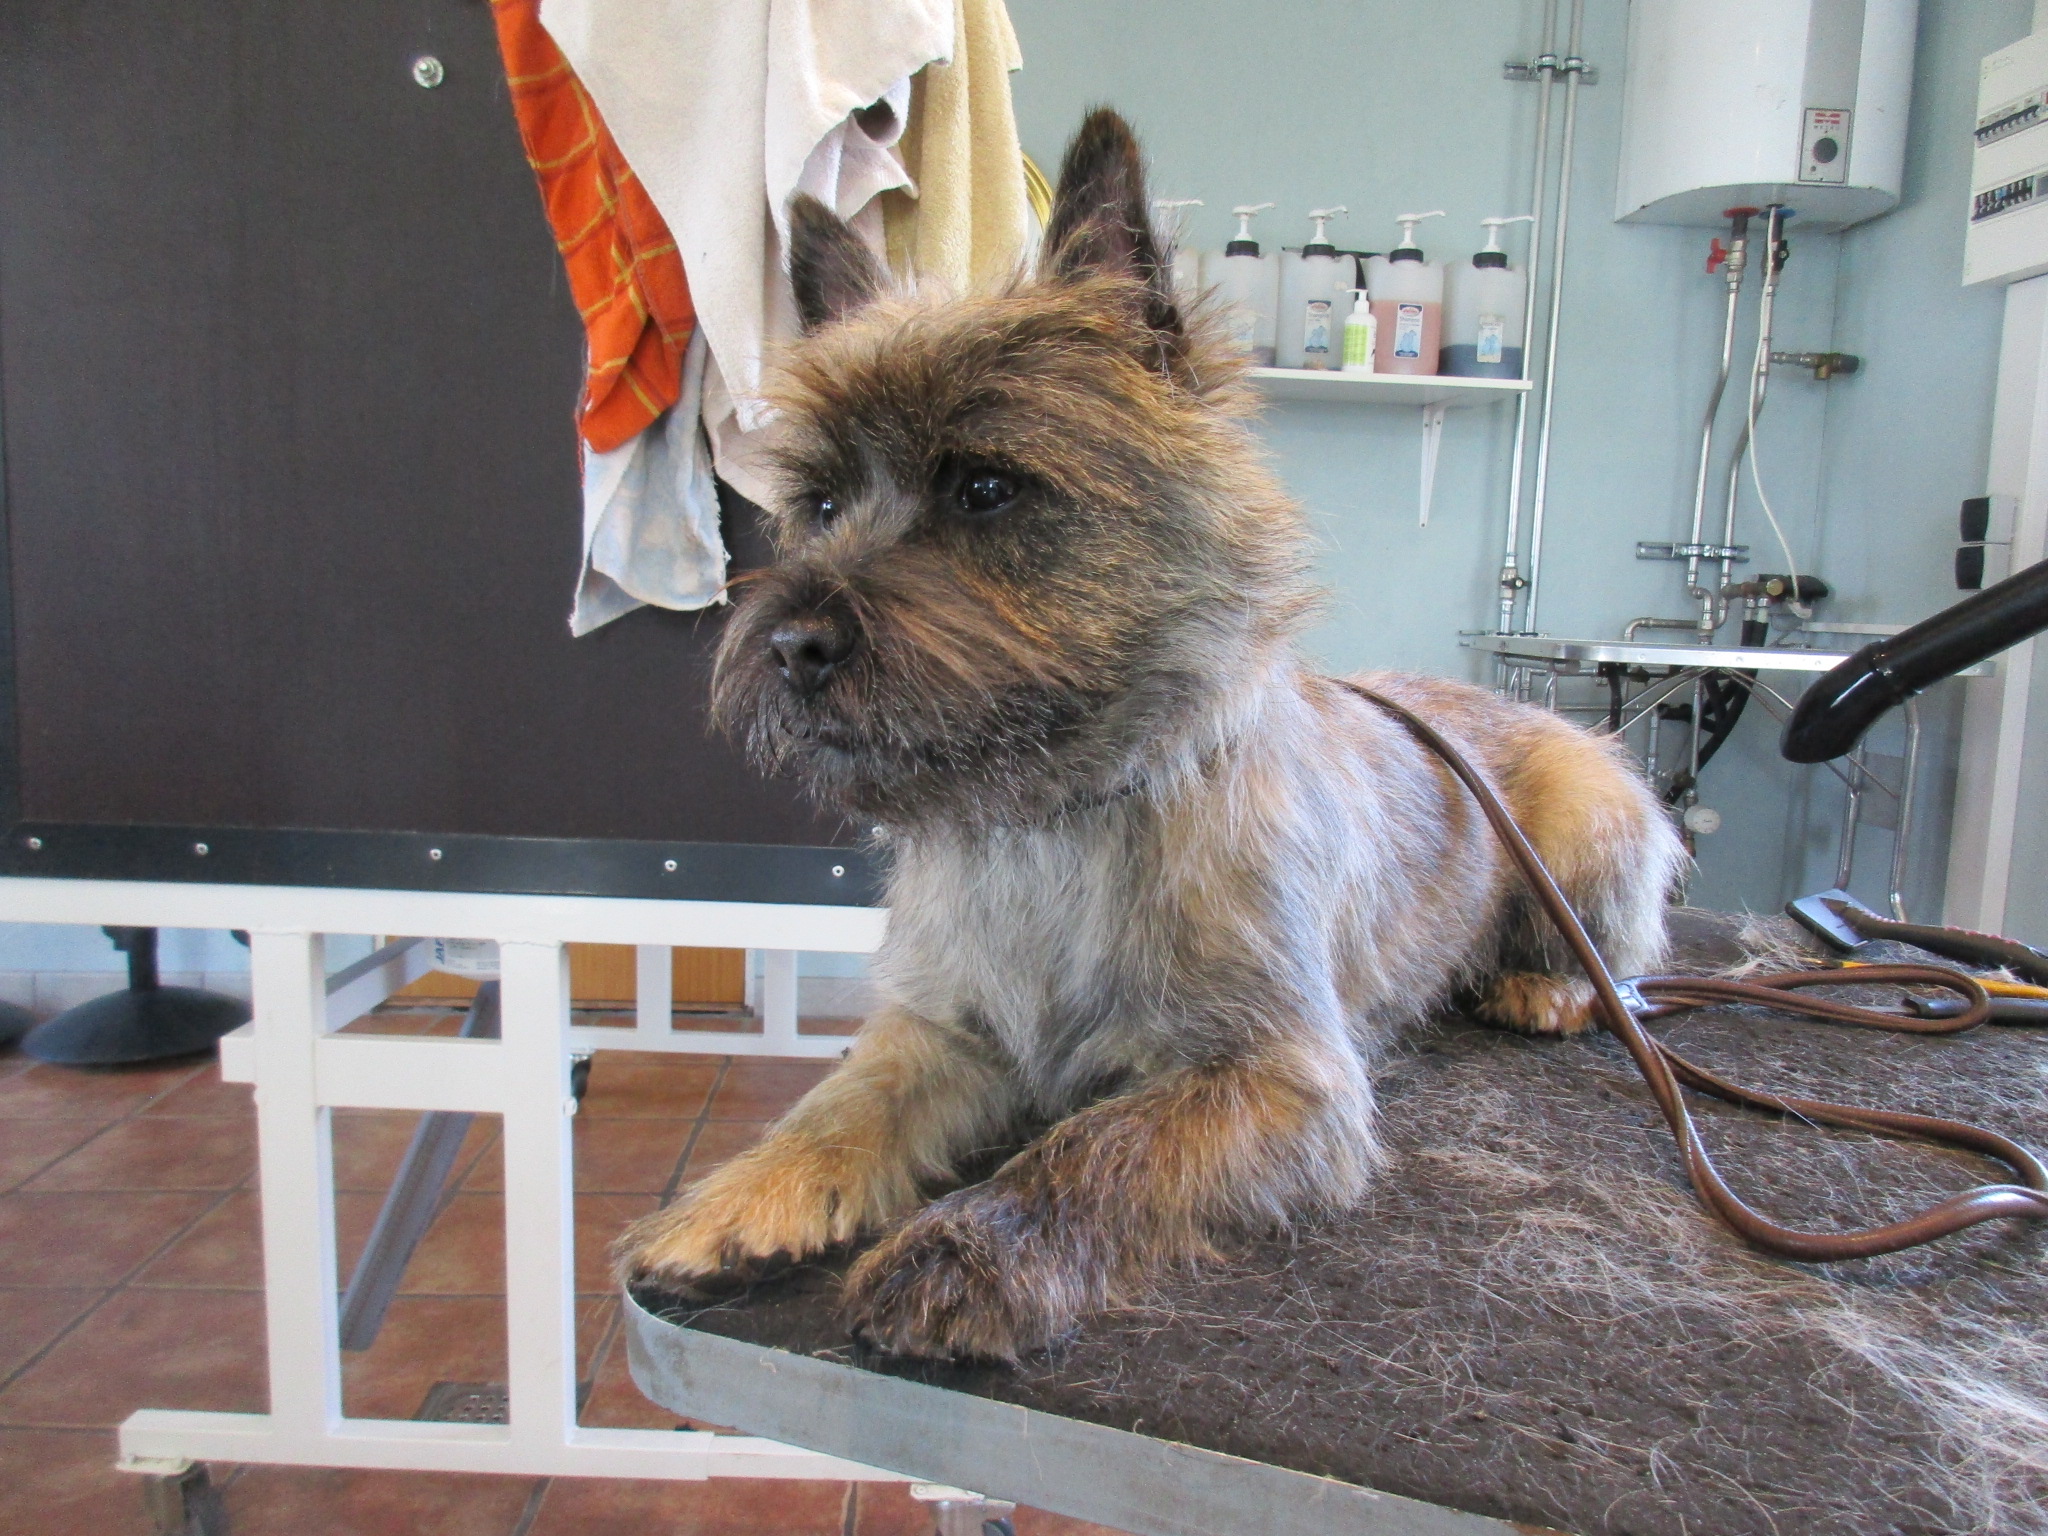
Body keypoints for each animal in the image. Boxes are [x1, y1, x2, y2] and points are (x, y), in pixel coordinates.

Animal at [617, 109, 1686, 1362]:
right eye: (822, 505)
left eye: (985, 489)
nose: (790, 646)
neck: (1054, 822)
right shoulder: (940, 1028)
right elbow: (845, 1099)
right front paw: (748, 1192)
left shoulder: (1274, 1076)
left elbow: (1093, 1148)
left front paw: (964, 1249)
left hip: (1585, 813)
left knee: (1619, 964)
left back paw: (1545, 988)